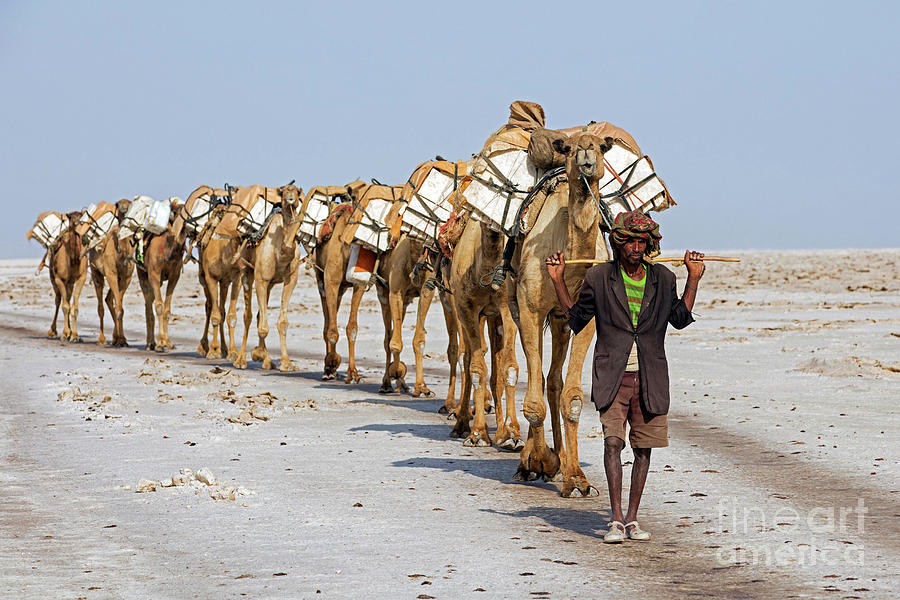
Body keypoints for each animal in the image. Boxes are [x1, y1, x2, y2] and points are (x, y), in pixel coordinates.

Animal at [230, 183, 304, 370]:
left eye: (297, 191)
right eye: (283, 192)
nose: (290, 197)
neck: (282, 251)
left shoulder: (291, 279)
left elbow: (282, 323)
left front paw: (286, 362)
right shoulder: (261, 279)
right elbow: (262, 327)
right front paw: (259, 355)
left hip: (269, 284)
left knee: (258, 315)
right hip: (247, 272)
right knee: (248, 316)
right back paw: (240, 359)